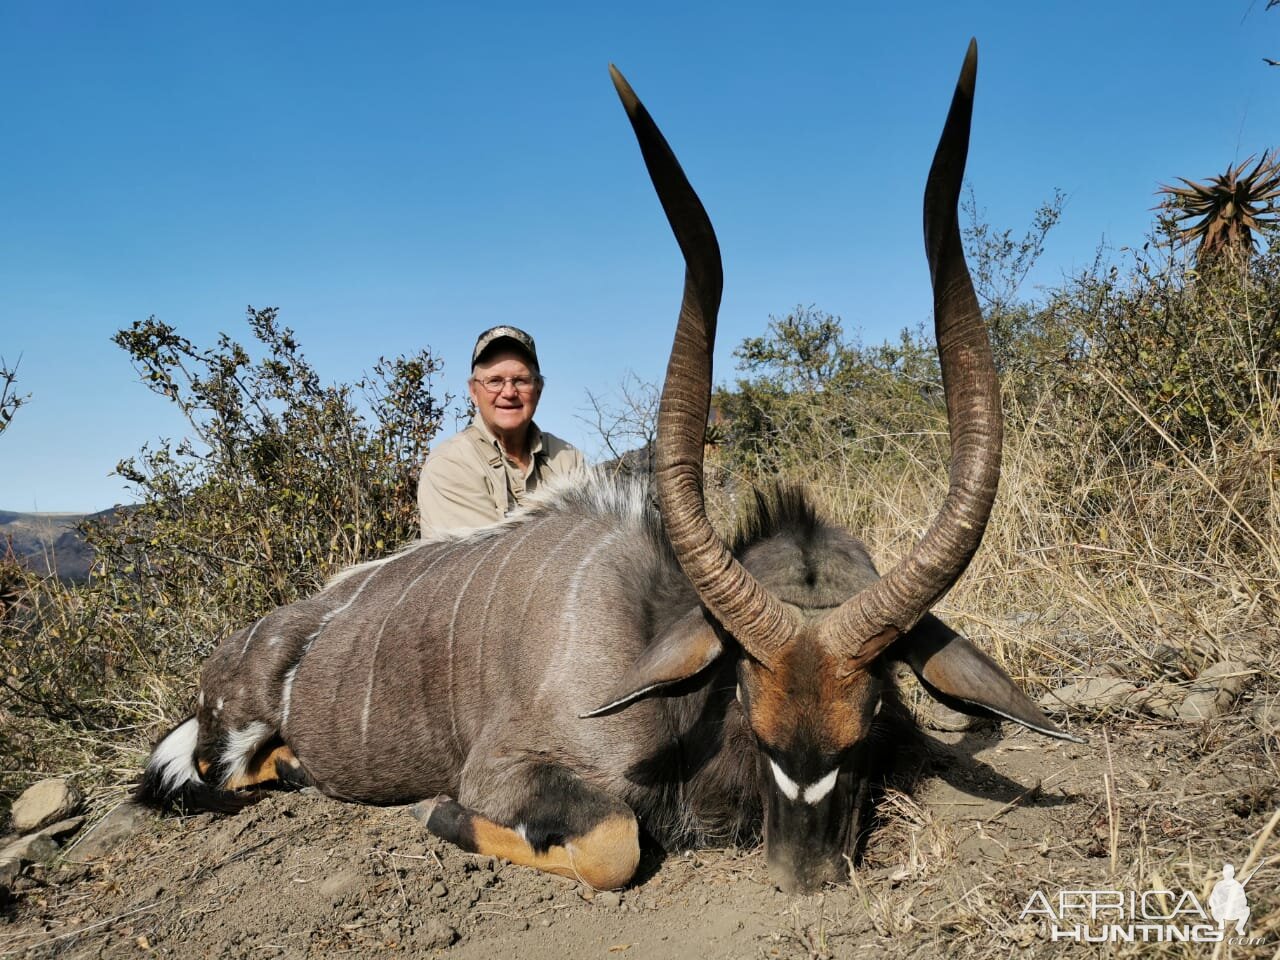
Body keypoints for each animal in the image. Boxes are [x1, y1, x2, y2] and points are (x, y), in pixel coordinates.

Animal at [140, 41, 1080, 901]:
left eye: (875, 709)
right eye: (748, 697)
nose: (802, 874)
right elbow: (613, 843)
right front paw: (431, 812)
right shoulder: (509, 770)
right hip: (228, 740)